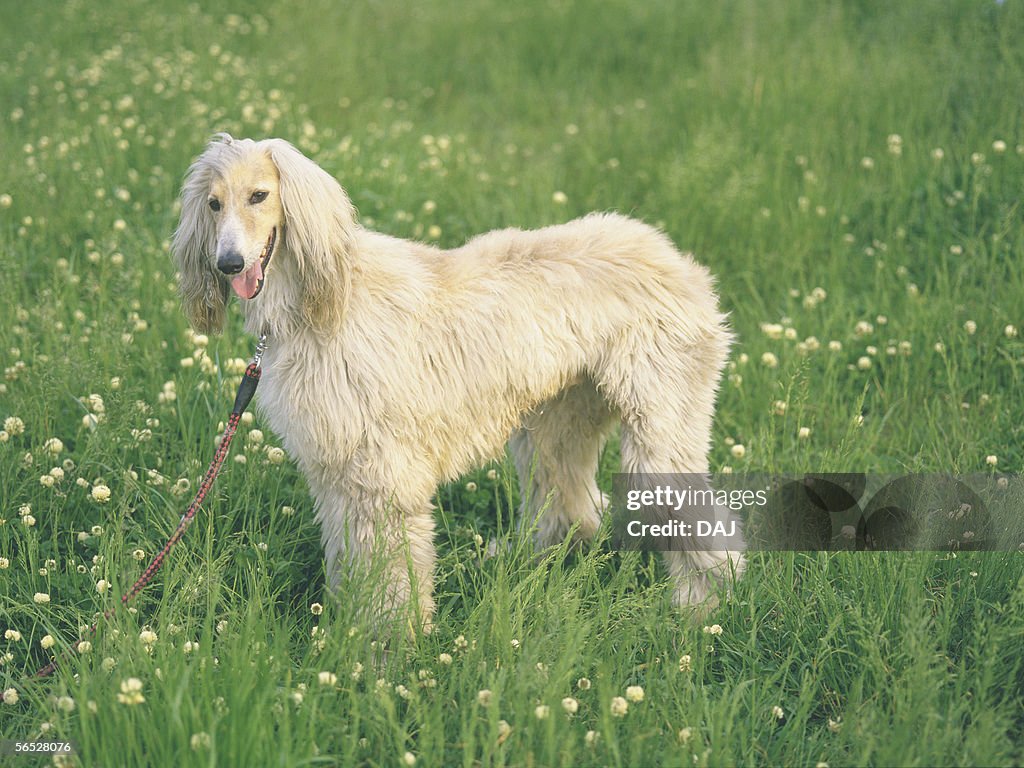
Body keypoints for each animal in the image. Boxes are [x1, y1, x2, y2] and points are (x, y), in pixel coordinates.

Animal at [169, 134, 745, 630]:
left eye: (260, 195)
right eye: (214, 204)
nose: (228, 263)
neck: (325, 301)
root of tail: (674, 257)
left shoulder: (385, 472)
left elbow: (393, 573)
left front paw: (393, 644)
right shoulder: (338, 468)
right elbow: (348, 556)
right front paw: (346, 626)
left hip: (661, 416)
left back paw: (702, 606)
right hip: (560, 418)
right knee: (571, 506)